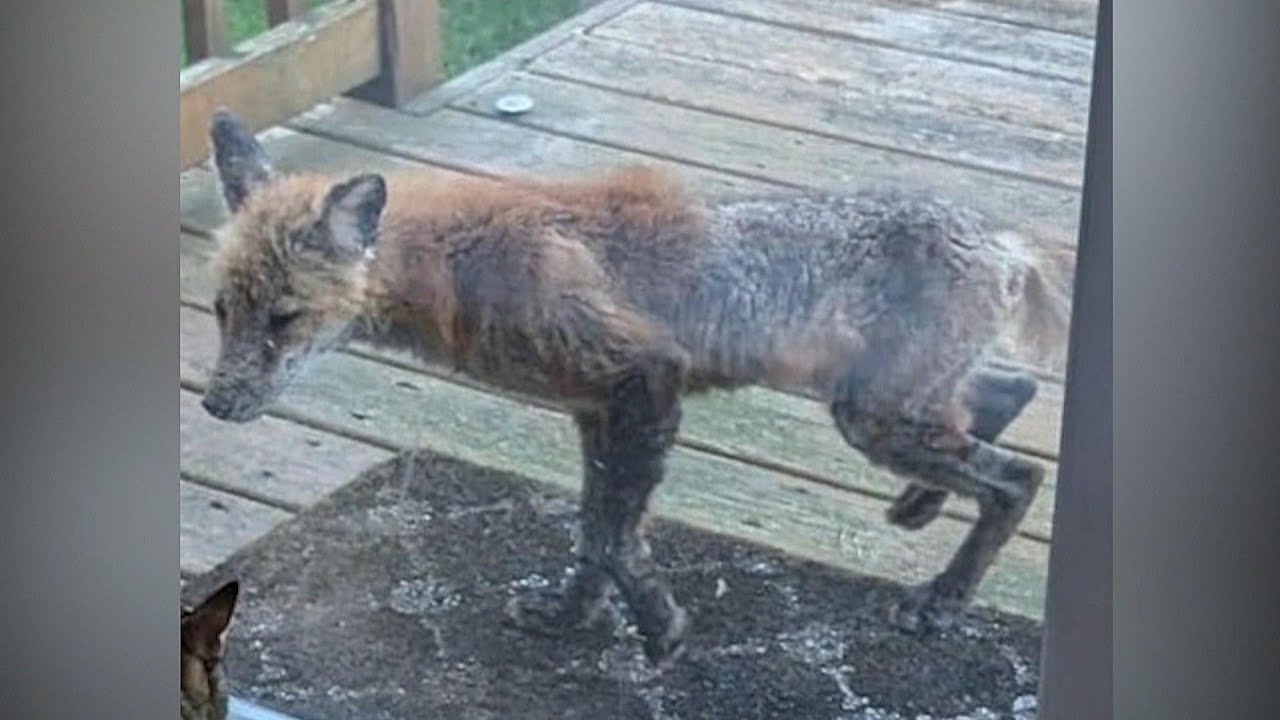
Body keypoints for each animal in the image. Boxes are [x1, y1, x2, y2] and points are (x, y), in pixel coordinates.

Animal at [200, 109, 1069, 667]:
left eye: (282, 318)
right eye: (222, 311)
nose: (214, 405)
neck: (462, 268)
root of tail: (1001, 237)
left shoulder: (644, 380)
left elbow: (617, 539)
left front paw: (659, 630)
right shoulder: (594, 411)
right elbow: (595, 535)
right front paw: (570, 616)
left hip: (874, 417)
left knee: (1018, 477)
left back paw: (945, 596)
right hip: (889, 406)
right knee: (1005, 393)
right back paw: (923, 506)